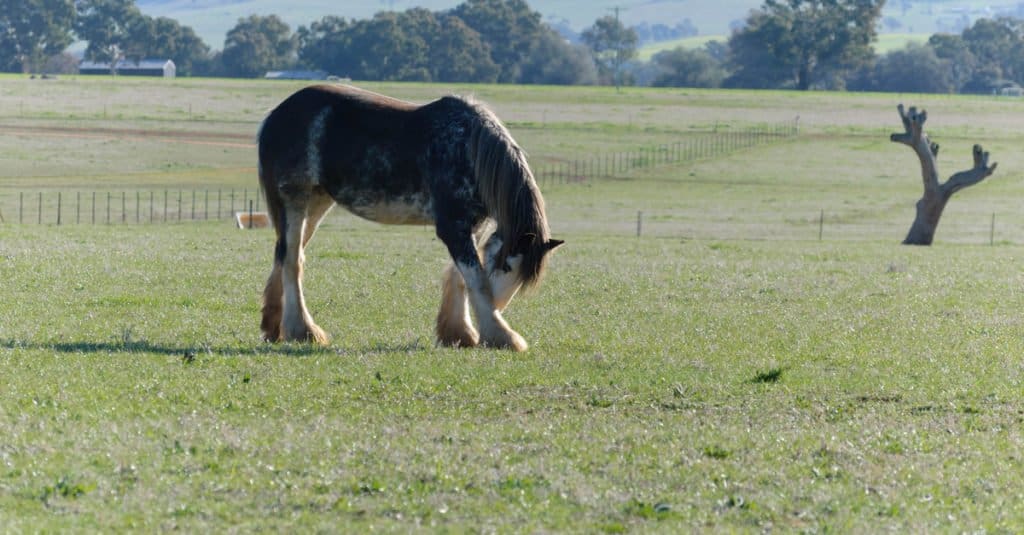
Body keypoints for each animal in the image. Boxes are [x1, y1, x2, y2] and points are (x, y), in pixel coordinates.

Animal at [253, 83, 561, 350]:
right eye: (506, 266)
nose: (499, 306)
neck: (468, 150)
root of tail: (274, 117)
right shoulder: (453, 228)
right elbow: (477, 281)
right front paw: (501, 336)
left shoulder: (472, 228)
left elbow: (461, 278)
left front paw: (459, 333)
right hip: (295, 200)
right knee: (292, 261)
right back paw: (303, 331)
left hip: (317, 202)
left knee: (285, 254)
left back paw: (273, 327)